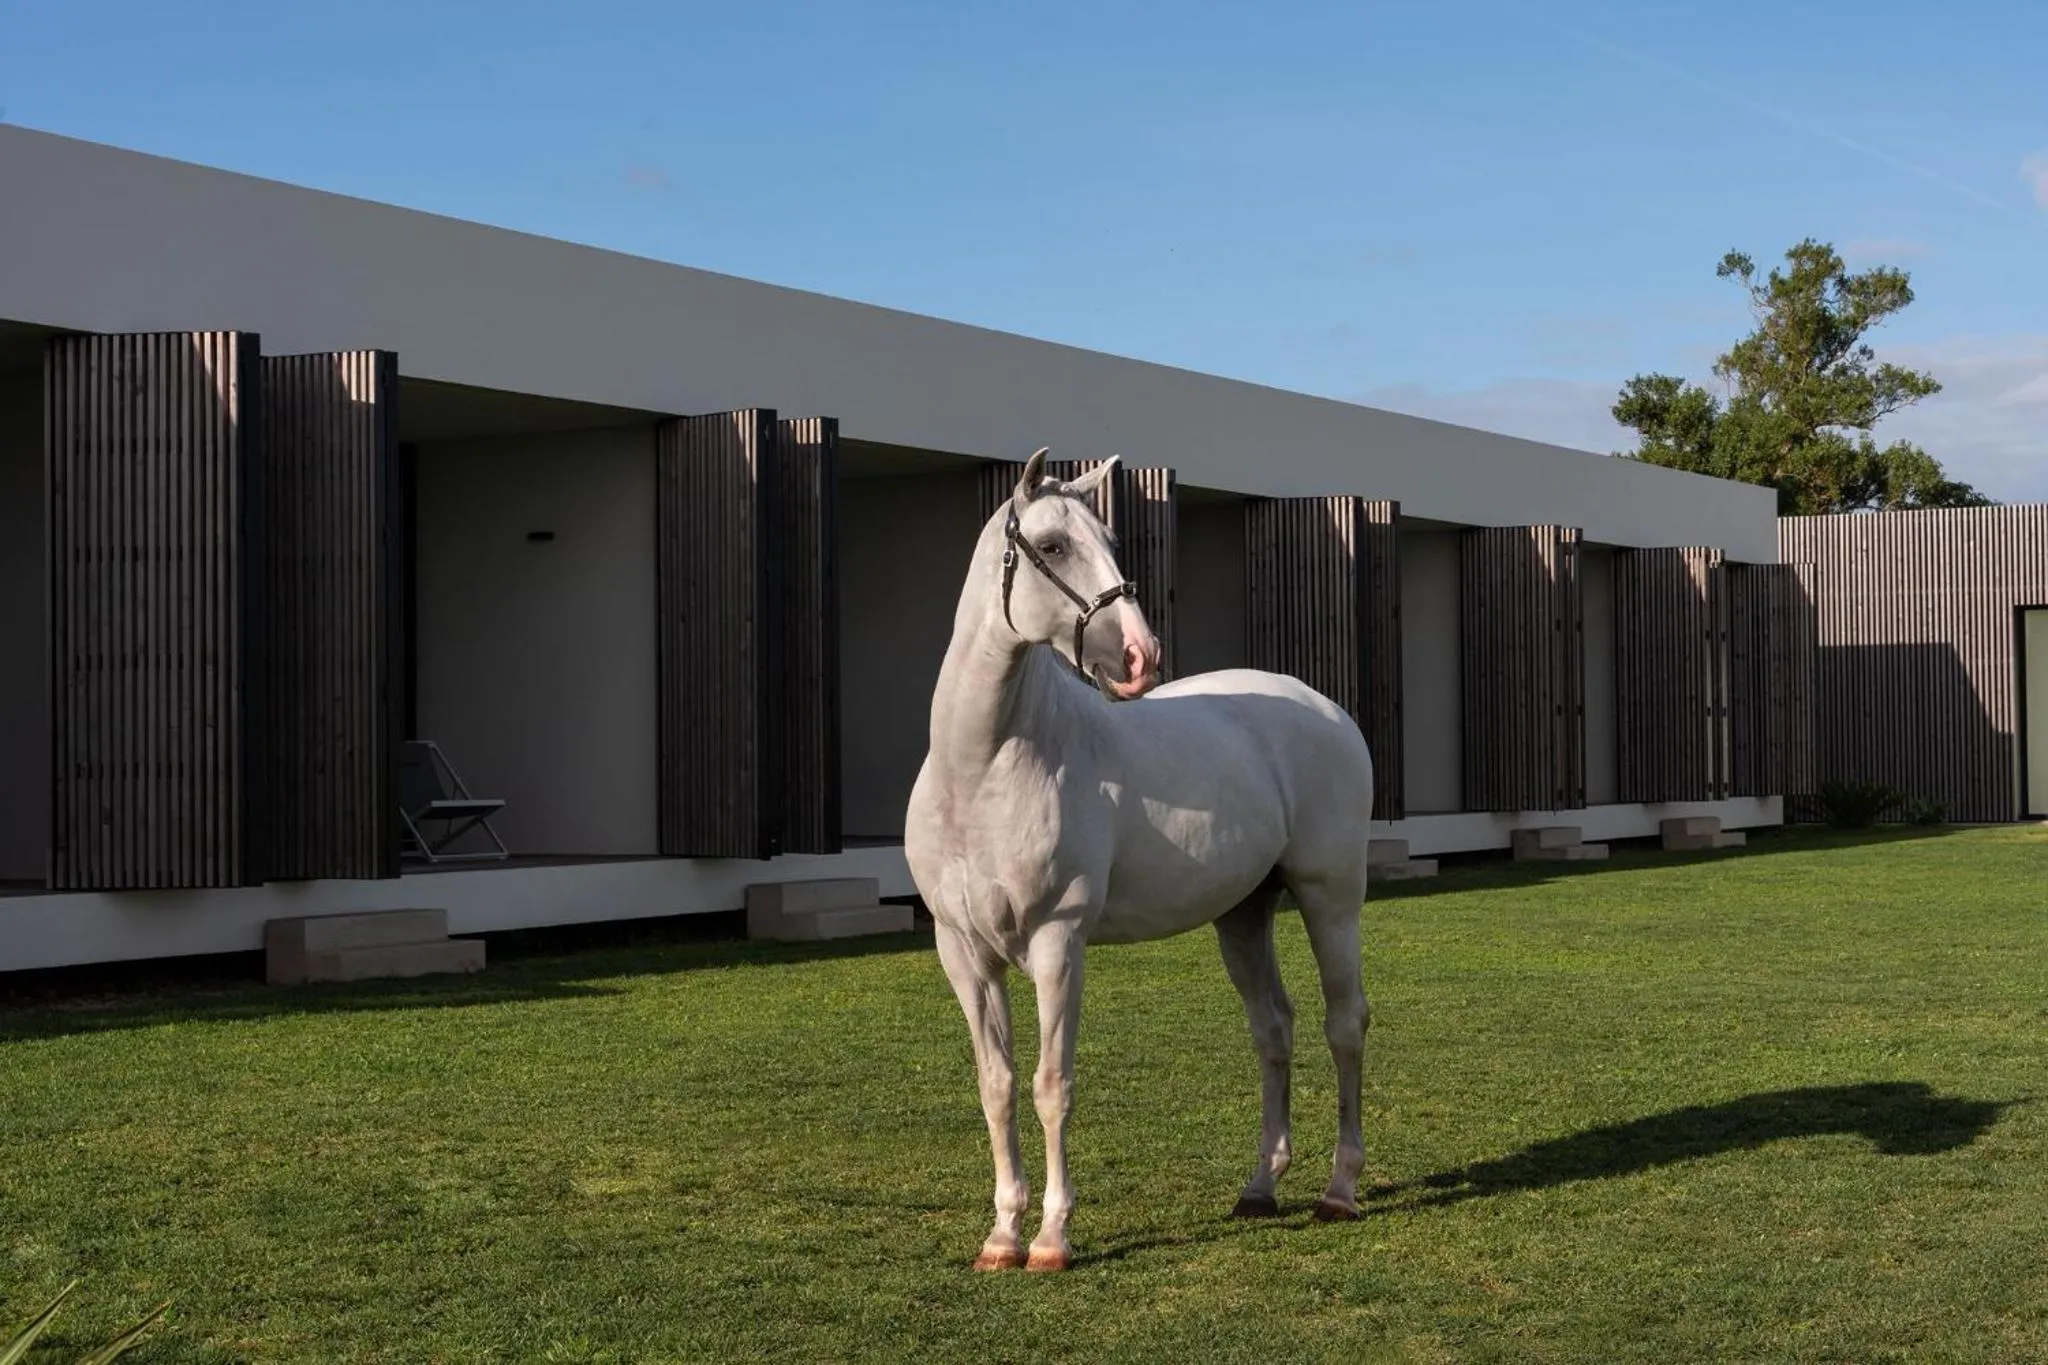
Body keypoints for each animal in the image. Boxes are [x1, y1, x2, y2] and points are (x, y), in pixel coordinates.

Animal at [903, 448, 1377, 1272]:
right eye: (1053, 546)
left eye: (1112, 540)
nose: (1138, 656)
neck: (984, 768)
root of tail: (1325, 708)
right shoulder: (962, 951)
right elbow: (997, 1085)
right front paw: (1002, 1234)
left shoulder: (1058, 943)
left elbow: (1052, 1083)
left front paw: (1052, 1237)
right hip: (1242, 915)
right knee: (1273, 1030)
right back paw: (1260, 1187)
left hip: (1331, 898)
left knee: (1343, 1023)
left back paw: (1339, 1189)